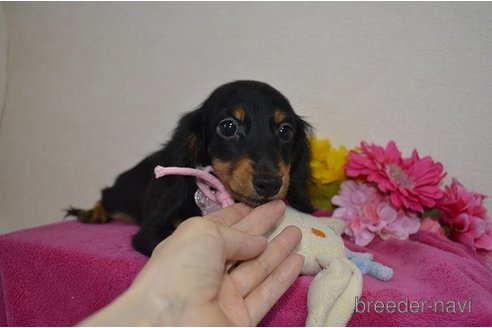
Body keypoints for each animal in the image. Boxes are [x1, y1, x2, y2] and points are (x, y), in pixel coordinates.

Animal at [67, 80, 314, 256]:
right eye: (228, 127)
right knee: (105, 194)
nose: (269, 184)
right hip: (121, 194)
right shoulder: (151, 231)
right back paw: (93, 213)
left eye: (285, 131)